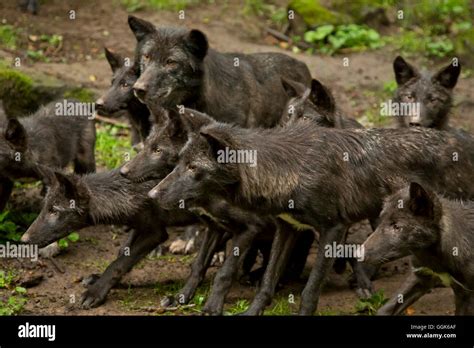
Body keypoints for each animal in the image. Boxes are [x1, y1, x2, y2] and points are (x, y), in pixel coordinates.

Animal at [362, 182, 474, 316]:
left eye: (397, 227)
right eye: (380, 221)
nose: (358, 254)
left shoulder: (466, 294)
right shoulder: (420, 276)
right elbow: (385, 309)